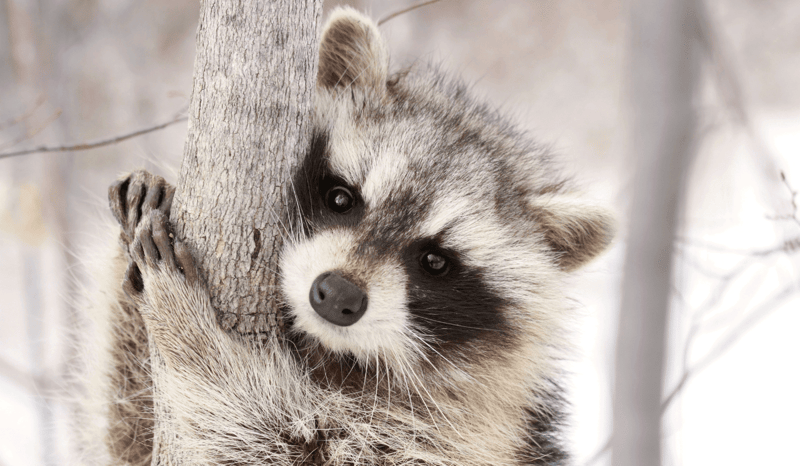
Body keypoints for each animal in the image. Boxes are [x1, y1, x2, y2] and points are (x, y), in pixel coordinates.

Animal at [81, 7, 614, 466]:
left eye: (435, 261)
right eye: (341, 198)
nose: (337, 295)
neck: (328, 351)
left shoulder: (455, 431)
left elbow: (266, 436)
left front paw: (188, 329)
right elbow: (127, 437)